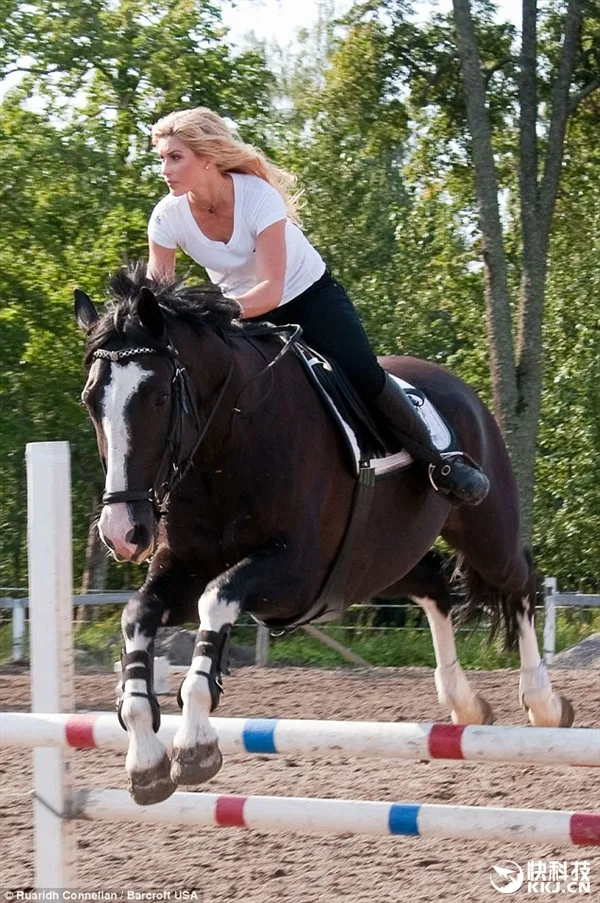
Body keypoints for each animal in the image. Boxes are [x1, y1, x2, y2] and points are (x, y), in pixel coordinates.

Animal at [76, 264, 576, 808]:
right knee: (435, 587)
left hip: (483, 533)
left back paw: (544, 703)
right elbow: (137, 615)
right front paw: (145, 760)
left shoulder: (295, 571)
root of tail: (459, 388)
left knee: (518, 585)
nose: (123, 532)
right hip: (382, 563)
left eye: (159, 397)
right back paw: (464, 704)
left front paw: (195, 744)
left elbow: (216, 600)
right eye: (90, 401)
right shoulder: (183, 569)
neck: (224, 444)